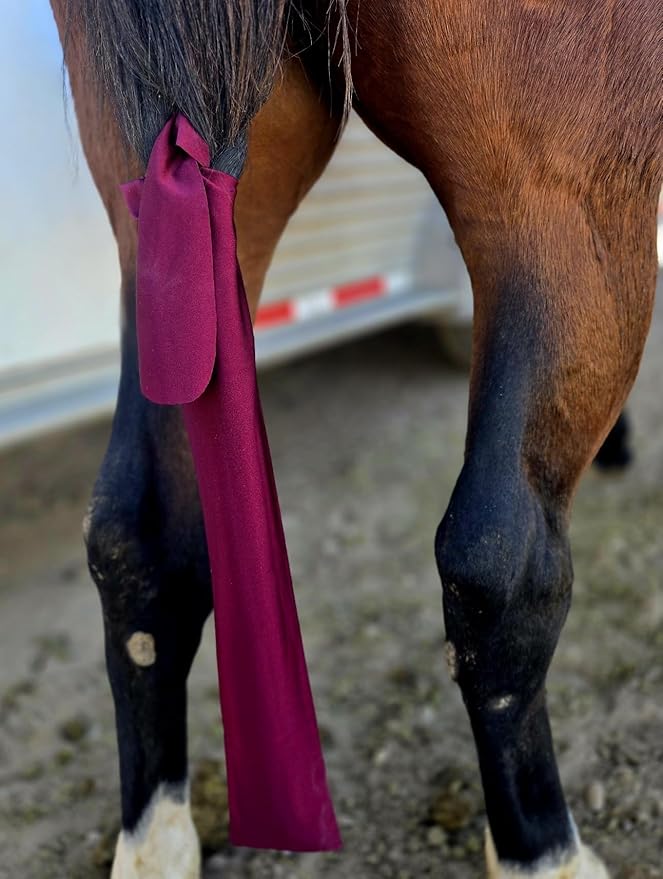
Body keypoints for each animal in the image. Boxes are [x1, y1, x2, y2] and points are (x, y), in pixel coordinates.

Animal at [50, 1, 662, 877]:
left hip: (182, 187)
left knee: (136, 533)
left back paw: (153, 835)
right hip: (560, 203)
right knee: (497, 564)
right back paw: (542, 849)